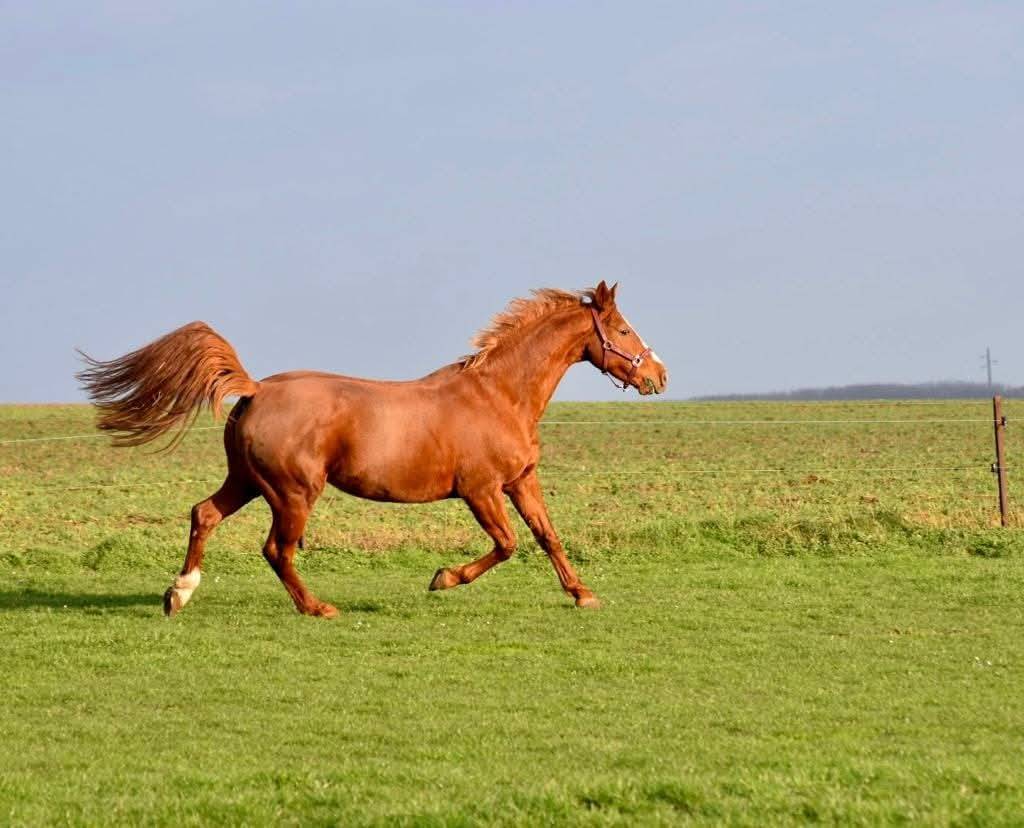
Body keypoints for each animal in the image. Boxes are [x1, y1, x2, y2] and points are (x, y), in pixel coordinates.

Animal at [76, 281, 668, 617]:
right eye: (623, 329)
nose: (658, 376)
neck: (498, 394)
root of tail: (257, 389)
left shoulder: (521, 480)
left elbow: (548, 537)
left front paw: (583, 595)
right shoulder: (480, 490)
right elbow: (506, 545)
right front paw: (442, 579)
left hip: (247, 481)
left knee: (205, 514)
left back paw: (178, 595)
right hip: (293, 492)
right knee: (276, 549)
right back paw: (318, 608)